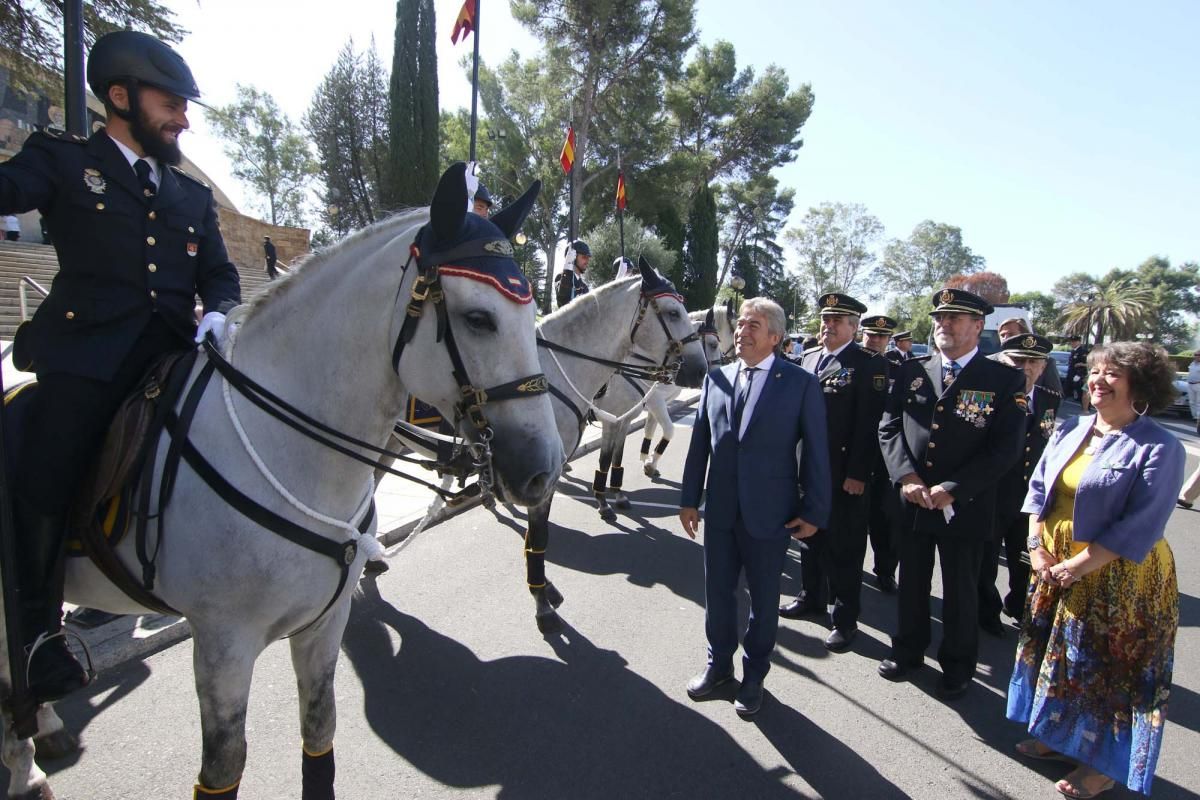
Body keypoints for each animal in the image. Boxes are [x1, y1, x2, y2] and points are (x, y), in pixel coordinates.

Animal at [1, 164, 561, 800]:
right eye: (478, 319)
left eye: (532, 316)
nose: (544, 468)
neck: (292, 450)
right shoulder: (223, 645)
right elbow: (224, 767)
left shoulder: (323, 626)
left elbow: (320, 732)